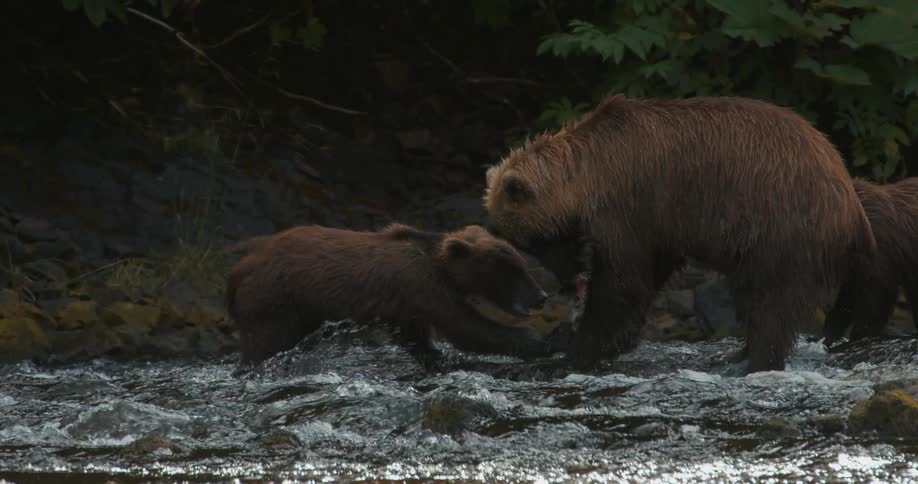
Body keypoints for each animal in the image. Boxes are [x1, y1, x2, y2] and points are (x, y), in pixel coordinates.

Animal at [225, 223, 564, 366]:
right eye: (510, 270)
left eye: (522, 265)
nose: (540, 296)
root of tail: (238, 269)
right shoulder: (421, 286)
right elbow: (468, 328)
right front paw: (544, 340)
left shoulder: (408, 306)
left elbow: (417, 338)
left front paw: (431, 355)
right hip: (274, 298)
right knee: (267, 342)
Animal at [483, 94, 877, 373]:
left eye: (535, 241)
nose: (567, 280)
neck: (586, 179)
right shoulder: (660, 227)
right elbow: (645, 278)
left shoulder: (630, 208)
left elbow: (622, 284)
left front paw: (576, 350)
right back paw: (736, 354)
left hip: (781, 228)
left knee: (773, 300)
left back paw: (756, 360)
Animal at [823, 177, 918, 345]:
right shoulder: (855, 267)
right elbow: (848, 298)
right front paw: (830, 333)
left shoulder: (880, 252)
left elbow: (877, 295)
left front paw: (862, 332)